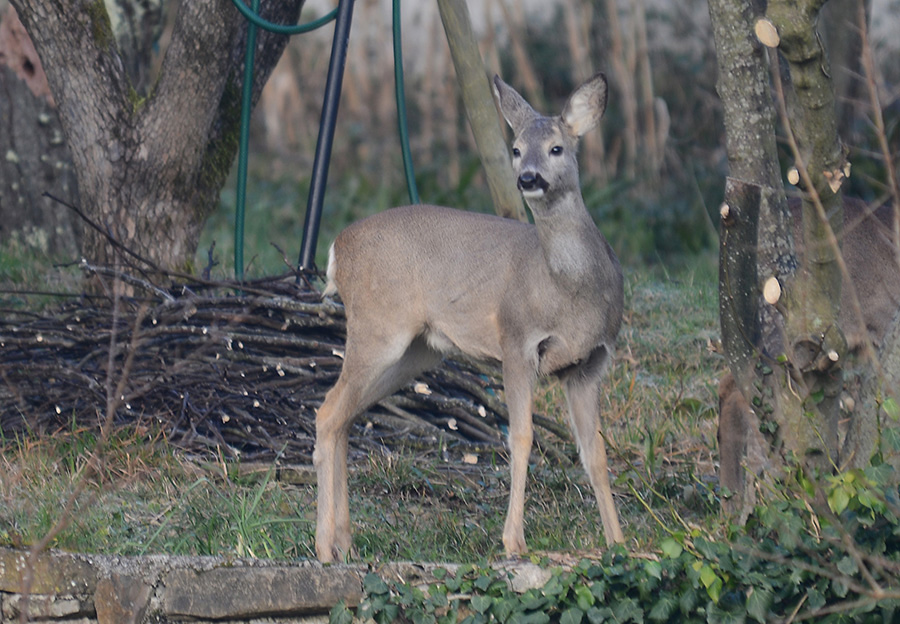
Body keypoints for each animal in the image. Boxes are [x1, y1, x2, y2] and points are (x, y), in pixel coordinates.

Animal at [316, 72, 624, 560]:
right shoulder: (517, 342)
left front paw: (618, 542)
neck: (570, 290)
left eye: (556, 147)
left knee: (344, 417)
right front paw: (513, 542)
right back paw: (324, 546)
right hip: (377, 326)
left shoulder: (590, 363)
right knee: (327, 413)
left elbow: (594, 449)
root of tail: (336, 250)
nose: (528, 178)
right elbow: (521, 437)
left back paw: (344, 542)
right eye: (515, 148)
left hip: (416, 350)